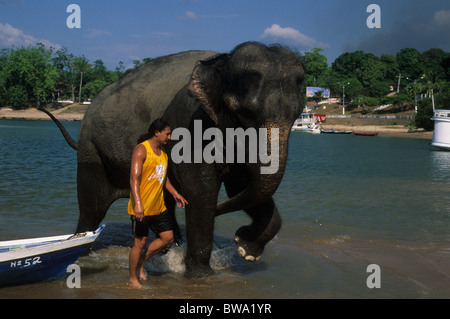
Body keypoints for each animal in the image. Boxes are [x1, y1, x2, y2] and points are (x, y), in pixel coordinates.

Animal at [44, 42, 306, 278]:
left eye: (298, 114)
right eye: (243, 112)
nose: (237, 234)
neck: (223, 59)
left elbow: (241, 187)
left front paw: (245, 249)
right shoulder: (189, 122)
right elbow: (201, 191)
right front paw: (202, 275)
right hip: (91, 150)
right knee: (91, 208)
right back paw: (82, 252)